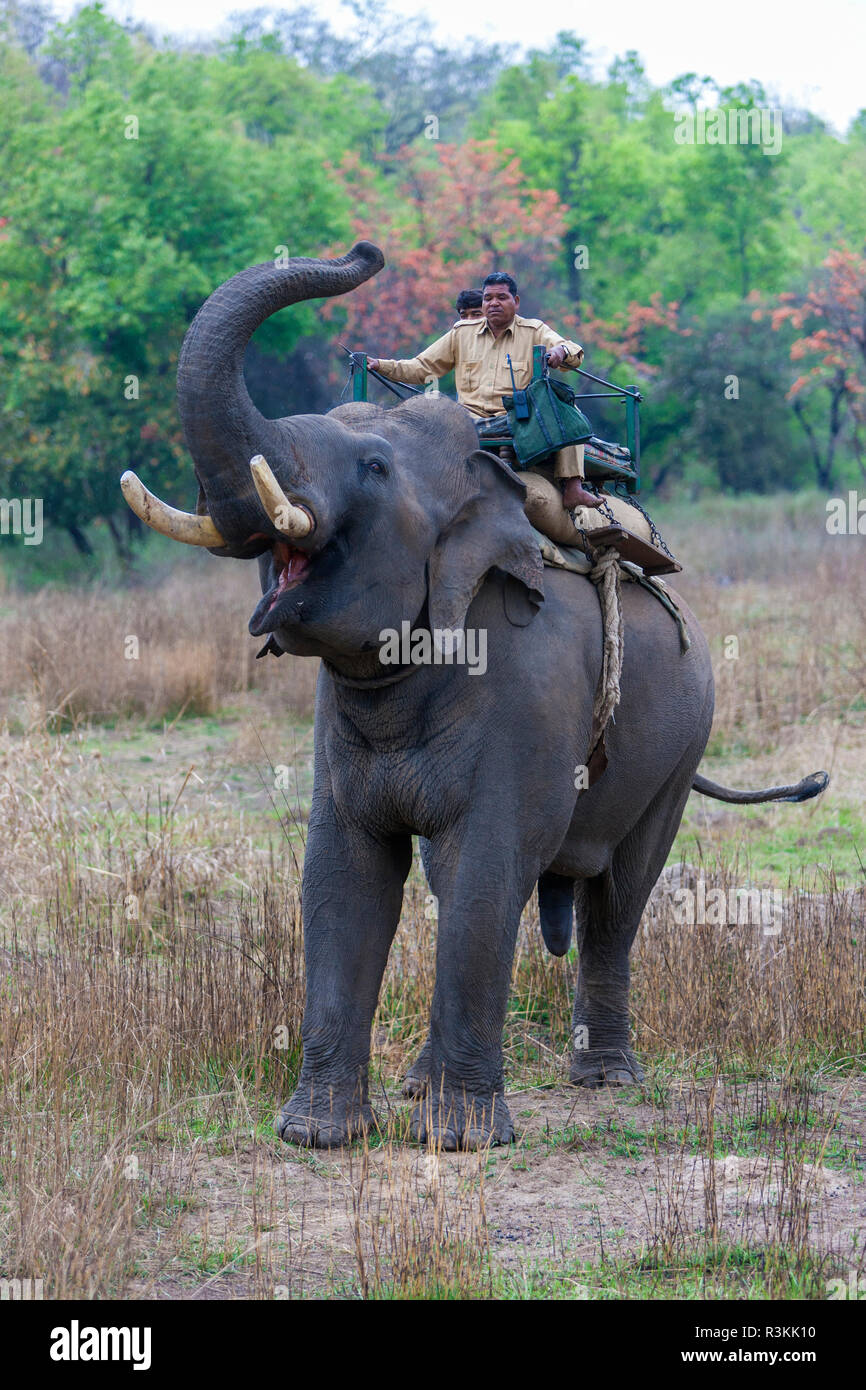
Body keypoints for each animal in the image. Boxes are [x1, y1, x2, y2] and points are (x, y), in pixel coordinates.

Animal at [120, 241, 828, 1150]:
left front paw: (459, 1142)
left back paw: (605, 1078)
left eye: (375, 466)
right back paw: (425, 1084)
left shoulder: (528, 697)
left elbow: (486, 870)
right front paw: (318, 1136)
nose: (366, 251)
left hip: (682, 743)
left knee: (618, 896)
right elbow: (344, 874)